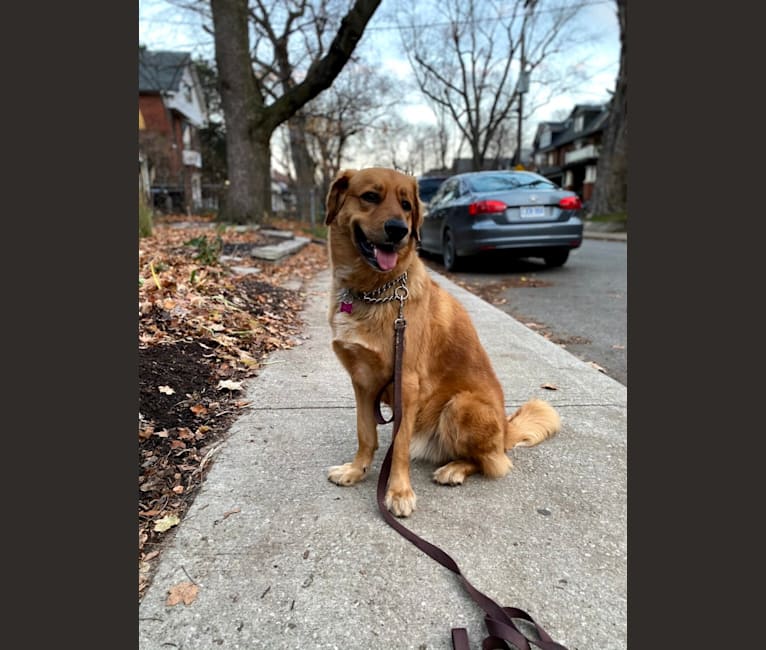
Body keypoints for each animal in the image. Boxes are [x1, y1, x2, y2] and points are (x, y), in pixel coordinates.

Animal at [328, 167, 560, 516]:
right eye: (370, 196)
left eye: (406, 205)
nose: (398, 230)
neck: (375, 291)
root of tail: (506, 431)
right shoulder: (363, 383)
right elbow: (365, 433)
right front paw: (356, 470)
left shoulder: (407, 384)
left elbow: (398, 445)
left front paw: (398, 492)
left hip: (460, 405)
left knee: (492, 462)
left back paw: (455, 469)